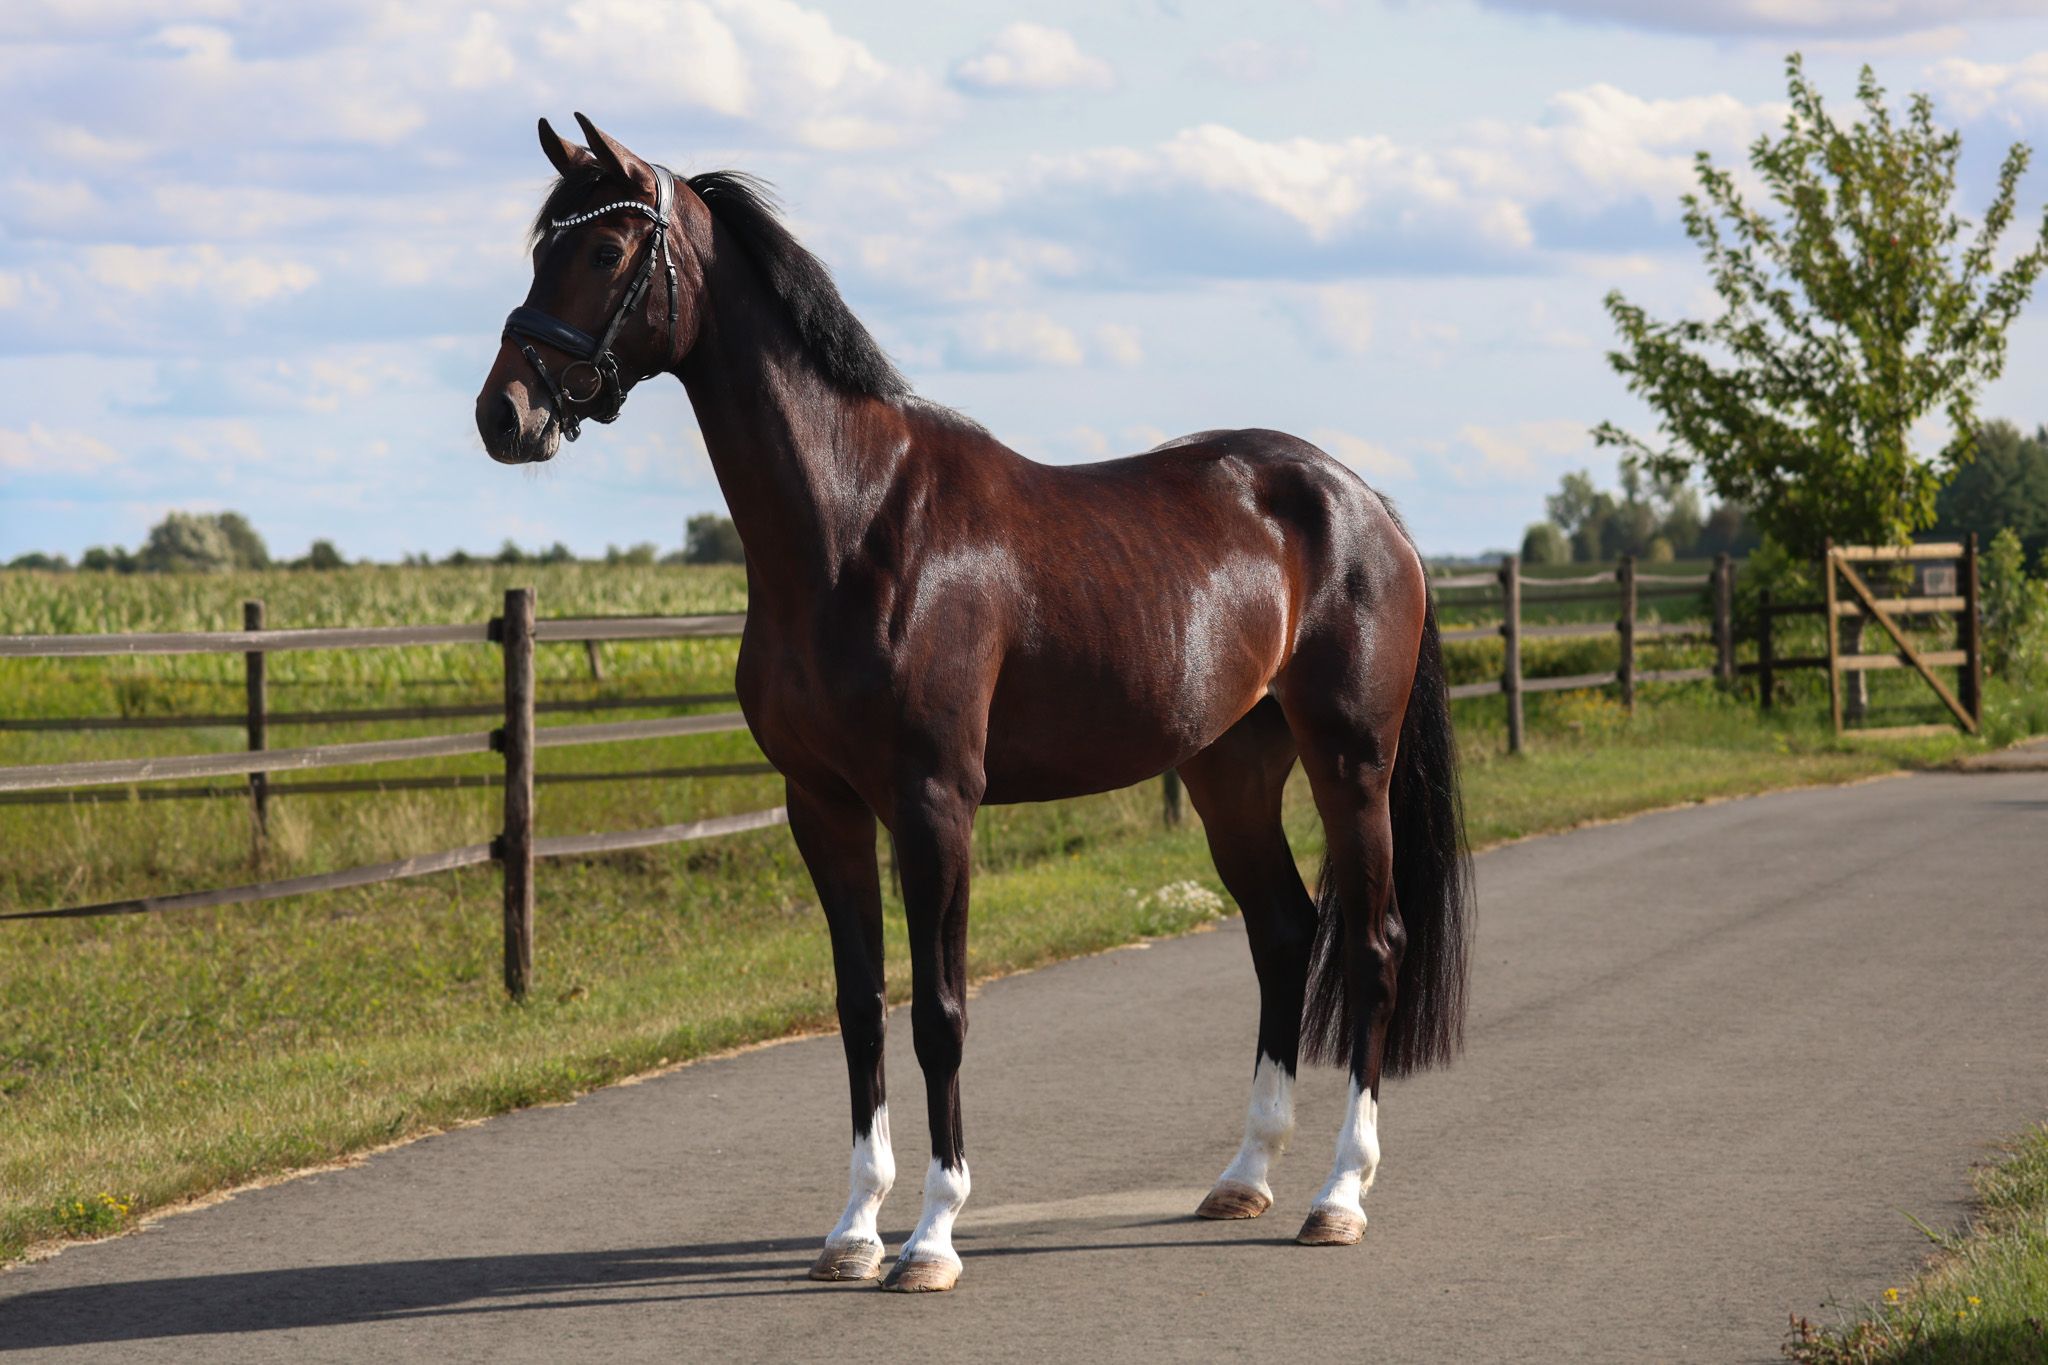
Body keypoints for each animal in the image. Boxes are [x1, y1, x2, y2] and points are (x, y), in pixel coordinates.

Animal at [476, 115, 1472, 1294]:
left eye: (603, 250)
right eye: (543, 247)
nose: (503, 413)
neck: (854, 522)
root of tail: (1363, 503)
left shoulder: (934, 802)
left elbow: (939, 1011)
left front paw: (933, 1236)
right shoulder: (820, 805)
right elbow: (860, 1006)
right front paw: (853, 1229)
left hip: (1350, 760)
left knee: (1370, 945)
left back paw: (1338, 1194)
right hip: (1230, 769)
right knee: (1282, 933)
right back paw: (1243, 1175)